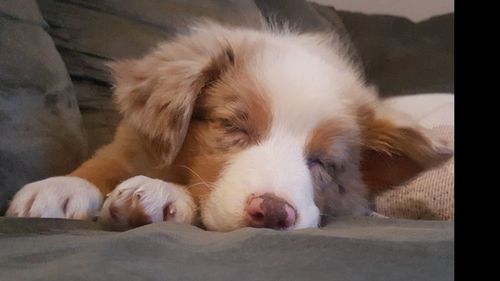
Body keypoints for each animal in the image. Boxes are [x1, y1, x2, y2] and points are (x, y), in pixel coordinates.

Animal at [5, 21, 454, 231]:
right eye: (234, 126)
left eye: (321, 162)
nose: (273, 212)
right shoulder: (132, 141)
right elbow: (102, 162)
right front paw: (61, 188)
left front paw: (161, 194)